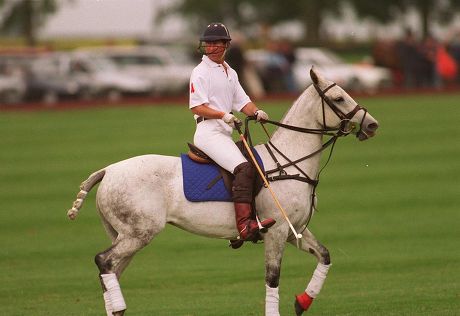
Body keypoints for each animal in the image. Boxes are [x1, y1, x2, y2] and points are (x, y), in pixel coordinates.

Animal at [66, 68, 380, 314]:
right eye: (339, 98)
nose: (372, 124)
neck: (289, 160)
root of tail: (107, 171)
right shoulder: (277, 230)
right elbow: (273, 278)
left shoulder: (295, 231)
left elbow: (324, 255)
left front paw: (302, 302)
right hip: (139, 232)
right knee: (104, 261)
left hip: (124, 234)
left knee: (110, 272)